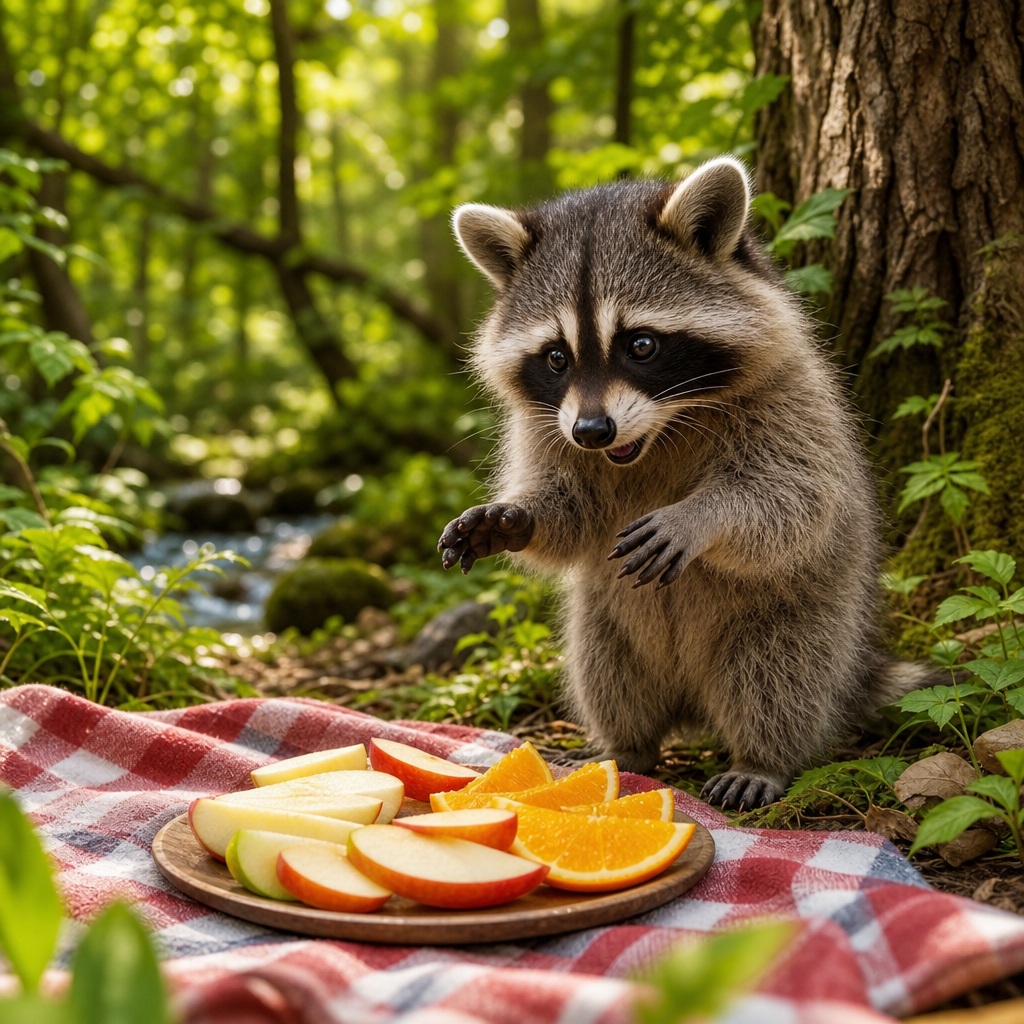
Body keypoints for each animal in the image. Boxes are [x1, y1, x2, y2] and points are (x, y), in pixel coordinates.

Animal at [437, 157, 922, 809]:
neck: (654, 435)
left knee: (779, 676)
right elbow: (572, 515)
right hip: (609, 623)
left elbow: (794, 496)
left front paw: (701, 515)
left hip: (807, 616)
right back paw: (628, 745)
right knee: (607, 672)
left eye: (641, 345)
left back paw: (762, 756)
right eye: (557, 357)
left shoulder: (791, 398)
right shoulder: (546, 425)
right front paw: (513, 517)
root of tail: (693, 704)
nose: (592, 431)